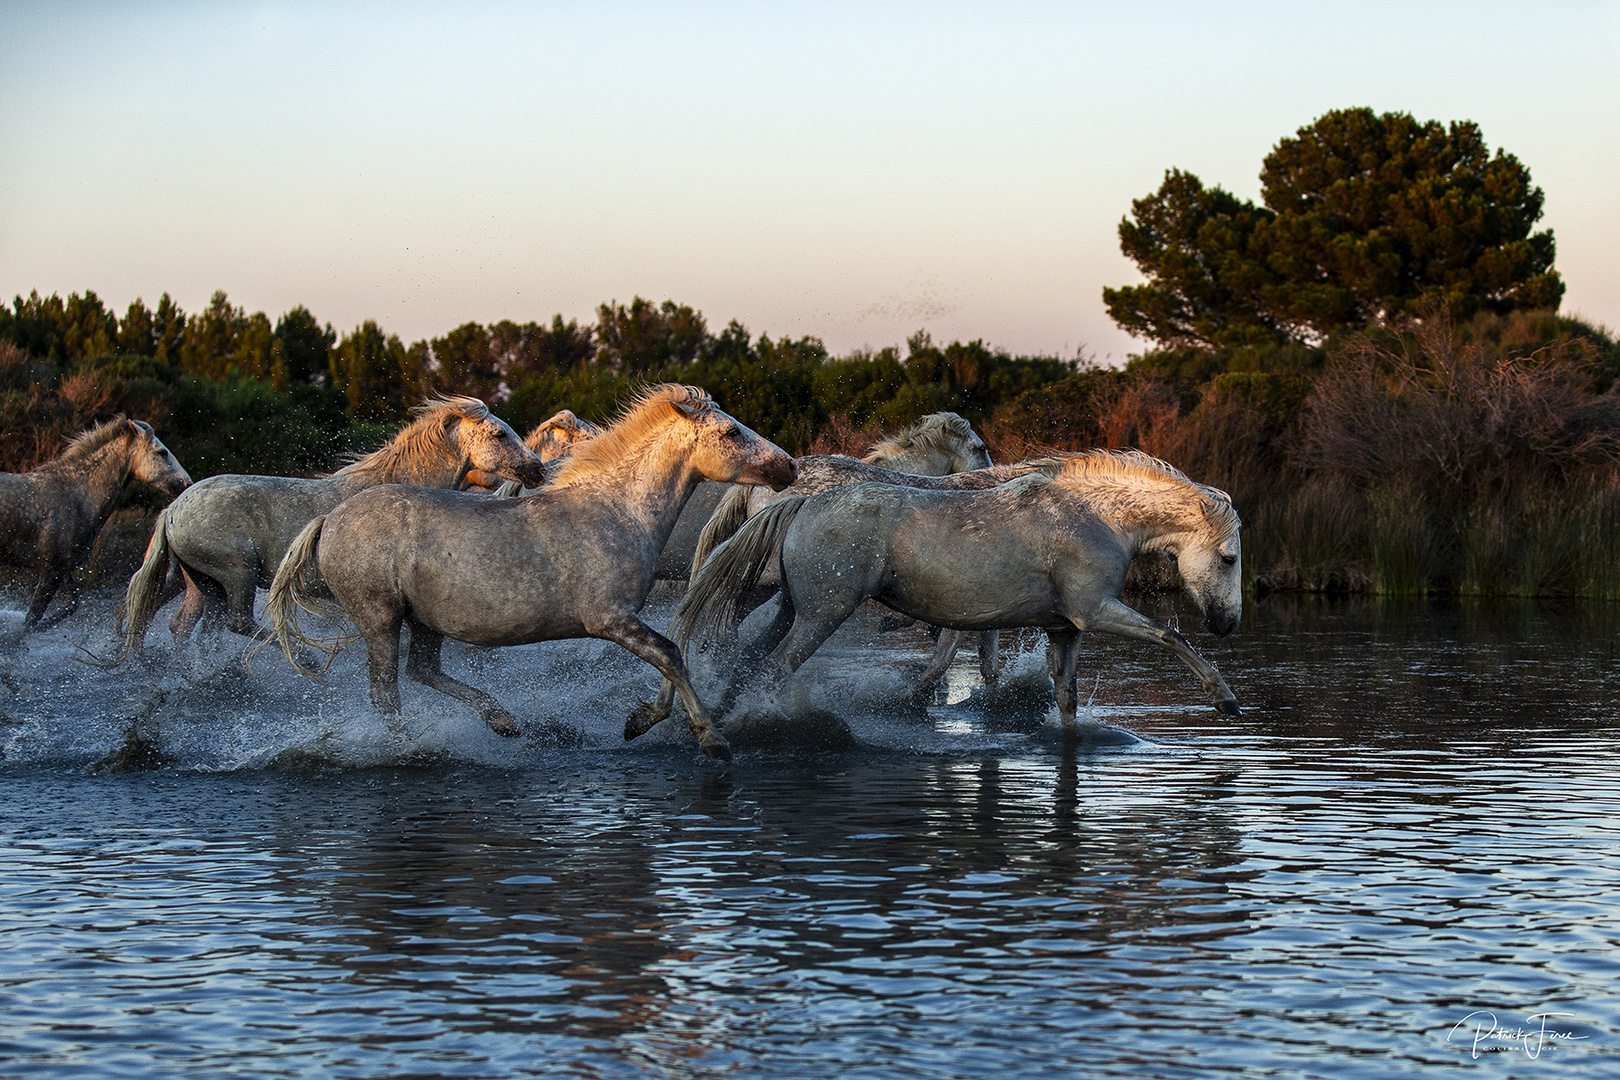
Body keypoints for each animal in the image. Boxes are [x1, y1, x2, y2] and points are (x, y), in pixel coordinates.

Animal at [0, 414, 191, 634]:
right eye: (162, 452)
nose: (186, 483)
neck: (76, 497)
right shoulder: (51, 570)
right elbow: (32, 618)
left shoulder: (64, 569)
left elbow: (70, 606)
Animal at [124, 393, 544, 654]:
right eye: (499, 433)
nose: (538, 470)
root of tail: (173, 509)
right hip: (236, 572)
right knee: (238, 621)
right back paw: (304, 658)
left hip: (203, 583)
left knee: (185, 626)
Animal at [268, 386, 800, 761]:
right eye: (731, 434)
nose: (789, 467)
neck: (617, 510)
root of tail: (328, 519)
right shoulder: (610, 620)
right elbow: (670, 654)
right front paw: (709, 739)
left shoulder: (622, 621)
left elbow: (673, 654)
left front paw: (638, 721)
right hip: (379, 618)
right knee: (385, 695)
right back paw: (411, 748)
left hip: (425, 621)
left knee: (423, 671)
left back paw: (503, 722)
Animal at [664, 446, 1244, 735]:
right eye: (1229, 558)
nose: (1228, 623)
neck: (1094, 517)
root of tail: (801, 501)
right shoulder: (1095, 611)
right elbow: (1171, 637)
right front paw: (1225, 699)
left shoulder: (1064, 628)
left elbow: (1065, 700)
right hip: (819, 615)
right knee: (769, 667)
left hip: (791, 607)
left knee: (746, 655)